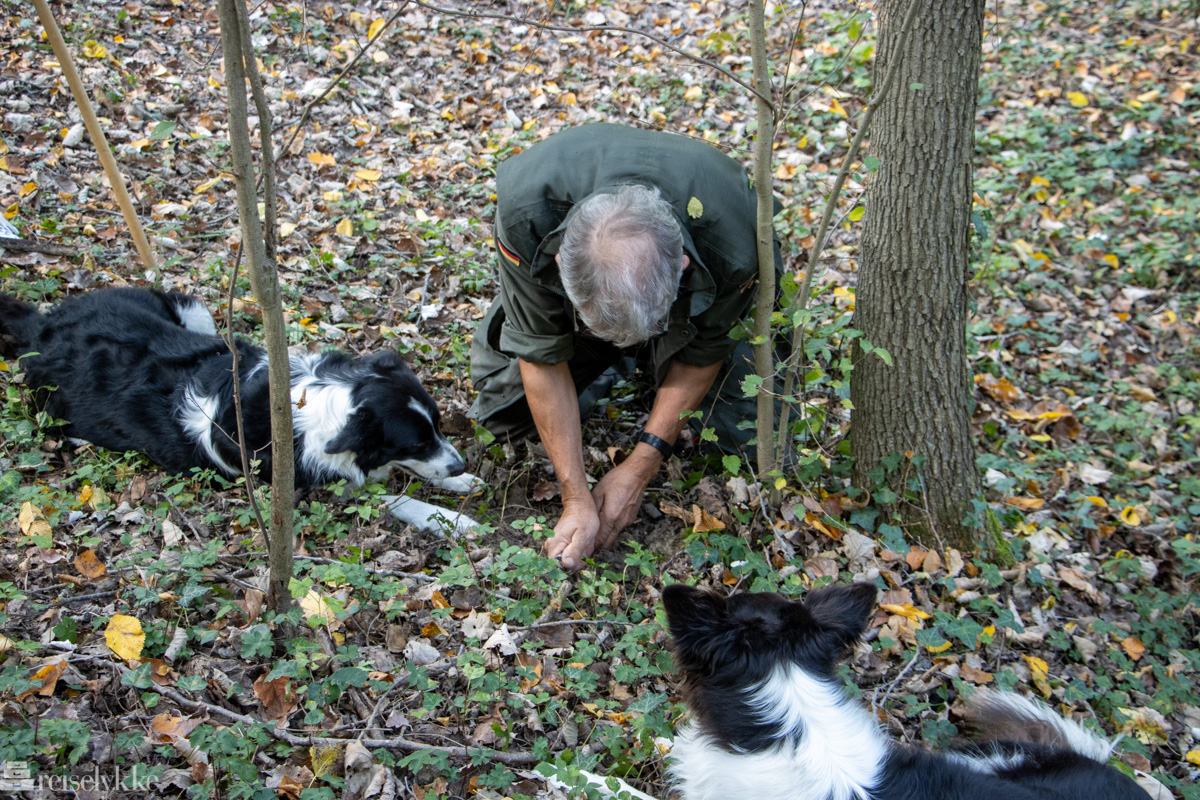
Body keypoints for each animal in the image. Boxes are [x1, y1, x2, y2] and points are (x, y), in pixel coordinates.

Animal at [1, 286, 477, 532]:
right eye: (414, 441)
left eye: (438, 426)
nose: (460, 464)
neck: (323, 404)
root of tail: (42, 324)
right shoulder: (304, 488)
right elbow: (393, 496)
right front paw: (450, 519)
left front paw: (461, 481)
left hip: (194, 313)